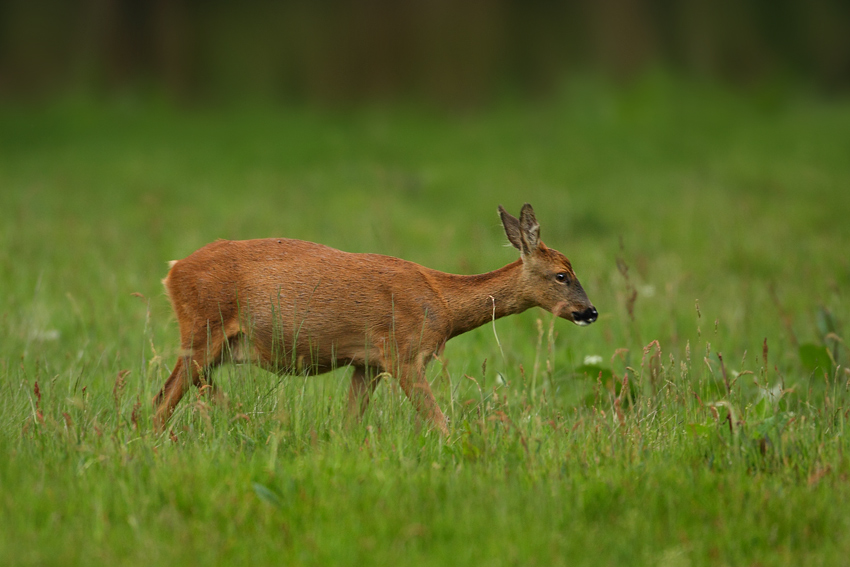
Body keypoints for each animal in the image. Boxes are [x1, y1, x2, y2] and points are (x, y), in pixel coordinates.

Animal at [152, 204, 596, 434]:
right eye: (562, 274)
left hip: (215, 342)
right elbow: (439, 420)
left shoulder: (366, 363)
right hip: (202, 326)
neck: (443, 305)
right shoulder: (403, 353)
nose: (590, 312)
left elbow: (350, 423)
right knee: (162, 398)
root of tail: (172, 271)